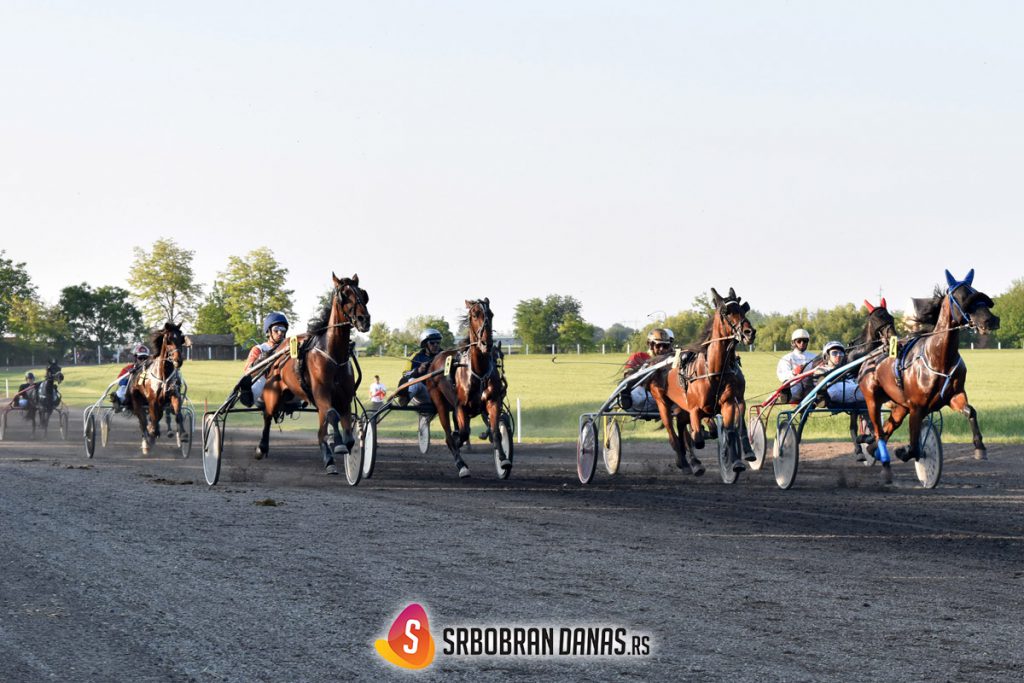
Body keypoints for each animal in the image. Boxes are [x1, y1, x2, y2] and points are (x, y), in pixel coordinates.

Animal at [128, 322, 187, 454]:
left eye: (181, 339)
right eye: (169, 340)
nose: (178, 360)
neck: (163, 375)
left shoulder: (174, 395)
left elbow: (178, 415)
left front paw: (183, 435)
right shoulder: (153, 401)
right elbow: (152, 420)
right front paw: (151, 434)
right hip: (137, 401)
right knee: (143, 421)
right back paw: (146, 441)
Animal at [257, 273, 370, 474]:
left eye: (363, 294)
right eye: (344, 295)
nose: (364, 319)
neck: (333, 354)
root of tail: (278, 350)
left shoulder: (344, 398)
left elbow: (347, 435)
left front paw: (343, 448)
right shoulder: (321, 393)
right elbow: (332, 415)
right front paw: (338, 444)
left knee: (320, 431)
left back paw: (329, 459)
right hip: (273, 393)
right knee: (267, 416)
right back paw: (261, 448)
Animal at [424, 298, 508, 479]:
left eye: (491, 314)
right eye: (475, 314)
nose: (486, 343)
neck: (478, 371)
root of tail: (435, 359)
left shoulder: (493, 401)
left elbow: (495, 431)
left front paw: (503, 460)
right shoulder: (460, 406)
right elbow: (461, 434)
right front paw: (459, 454)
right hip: (440, 402)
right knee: (449, 434)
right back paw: (460, 463)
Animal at [648, 287, 756, 477]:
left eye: (743, 310)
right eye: (726, 312)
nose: (749, 332)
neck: (714, 370)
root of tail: (658, 362)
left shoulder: (730, 402)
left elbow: (730, 429)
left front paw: (736, 461)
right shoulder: (695, 408)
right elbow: (697, 436)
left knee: (681, 425)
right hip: (662, 402)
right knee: (673, 432)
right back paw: (684, 462)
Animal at [859, 269, 999, 481]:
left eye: (975, 292)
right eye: (961, 297)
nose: (990, 320)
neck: (938, 357)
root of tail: (869, 358)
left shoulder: (954, 396)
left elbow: (971, 412)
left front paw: (979, 448)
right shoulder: (917, 407)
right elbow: (915, 447)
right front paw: (905, 452)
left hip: (900, 406)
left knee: (888, 428)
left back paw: (872, 449)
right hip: (872, 400)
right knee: (879, 431)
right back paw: (884, 463)